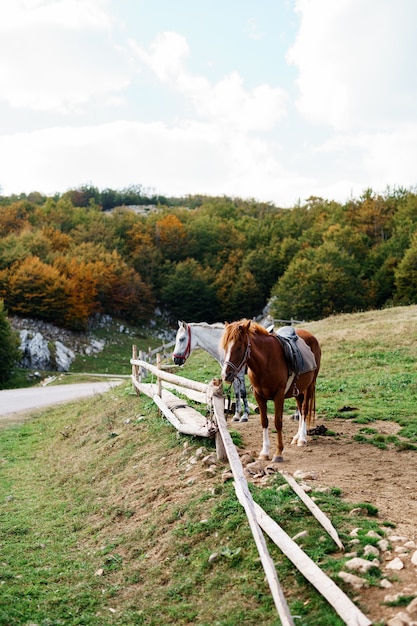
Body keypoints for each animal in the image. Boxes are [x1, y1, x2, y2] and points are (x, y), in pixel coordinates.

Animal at [219, 320, 320, 460]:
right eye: (225, 347)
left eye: (239, 347)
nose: (226, 375)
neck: (266, 362)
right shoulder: (258, 396)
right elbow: (264, 421)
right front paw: (264, 452)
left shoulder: (279, 395)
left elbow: (278, 422)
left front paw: (278, 453)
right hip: (299, 390)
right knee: (300, 410)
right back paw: (297, 437)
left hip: (310, 386)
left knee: (304, 410)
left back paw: (302, 439)